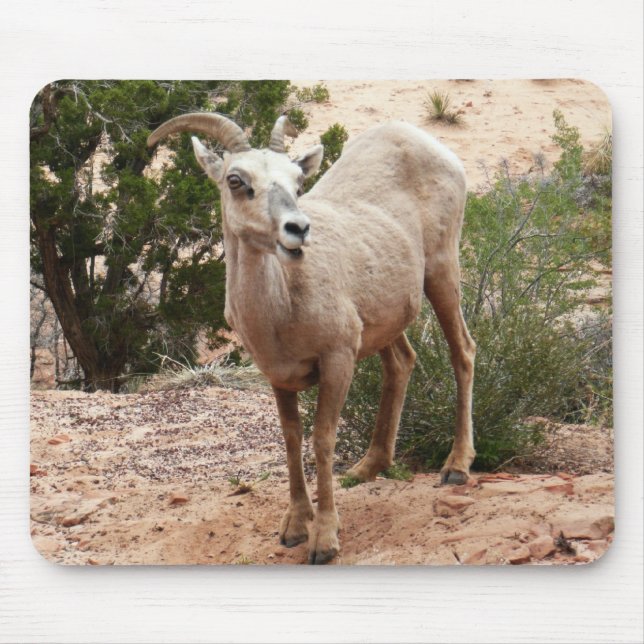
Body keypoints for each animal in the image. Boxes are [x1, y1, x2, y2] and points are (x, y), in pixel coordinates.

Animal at [147, 113, 476, 564]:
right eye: (236, 179)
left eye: (297, 182)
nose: (298, 229)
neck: (281, 308)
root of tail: (423, 140)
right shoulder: (278, 376)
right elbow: (291, 440)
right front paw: (293, 529)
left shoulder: (337, 360)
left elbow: (322, 440)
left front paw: (324, 540)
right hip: (386, 318)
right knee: (402, 362)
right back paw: (367, 468)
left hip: (442, 272)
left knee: (463, 352)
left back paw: (456, 467)